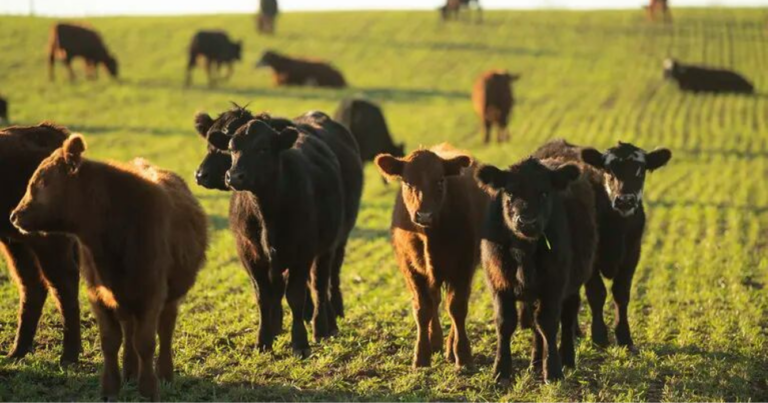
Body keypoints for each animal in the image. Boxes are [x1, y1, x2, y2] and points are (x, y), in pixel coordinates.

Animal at [0, 124, 81, 366]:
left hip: (48, 242)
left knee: (63, 283)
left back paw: (69, 357)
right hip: (17, 241)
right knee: (32, 285)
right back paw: (16, 352)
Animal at [12, 133, 210, 400]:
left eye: (42, 182)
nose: (14, 215)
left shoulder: (152, 294)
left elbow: (146, 343)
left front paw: (149, 389)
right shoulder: (98, 295)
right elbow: (111, 342)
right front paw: (110, 389)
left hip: (170, 297)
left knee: (165, 330)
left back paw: (165, 375)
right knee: (129, 330)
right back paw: (129, 372)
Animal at [376, 144, 488, 370]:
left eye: (440, 180)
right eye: (407, 182)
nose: (424, 215)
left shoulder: (463, 268)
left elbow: (457, 308)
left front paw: (463, 355)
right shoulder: (412, 270)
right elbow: (422, 309)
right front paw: (421, 355)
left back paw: (450, 348)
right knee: (434, 301)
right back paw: (435, 340)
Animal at [476, 156, 596, 384]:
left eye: (544, 193)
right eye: (510, 192)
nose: (527, 221)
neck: (524, 252)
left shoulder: (554, 285)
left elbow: (548, 323)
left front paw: (554, 370)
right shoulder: (499, 284)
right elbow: (505, 323)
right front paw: (501, 371)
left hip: (573, 285)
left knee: (567, 317)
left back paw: (567, 360)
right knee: (534, 324)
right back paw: (535, 362)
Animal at [536, 139, 668, 350]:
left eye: (641, 171)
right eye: (608, 170)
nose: (625, 200)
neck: (617, 228)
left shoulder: (632, 255)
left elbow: (621, 294)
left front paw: (624, 336)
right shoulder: (591, 258)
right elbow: (597, 294)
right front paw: (599, 335)